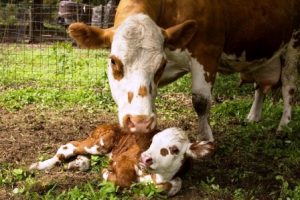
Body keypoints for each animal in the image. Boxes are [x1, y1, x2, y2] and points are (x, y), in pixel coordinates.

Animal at [29, 124, 213, 196]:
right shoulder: (125, 158)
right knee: (70, 146)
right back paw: (39, 166)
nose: (144, 157)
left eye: (174, 149)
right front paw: (106, 173)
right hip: (99, 143)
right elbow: (123, 181)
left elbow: (174, 185)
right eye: (153, 141)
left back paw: (78, 163)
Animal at [68, 0, 300, 141]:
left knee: (289, 87)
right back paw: (253, 116)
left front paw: (205, 138)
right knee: (260, 86)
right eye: (114, 62)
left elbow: (201, 101)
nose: (139, 123)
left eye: (160, 65)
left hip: (294, 45)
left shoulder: (206, 52)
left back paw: (284, 126)